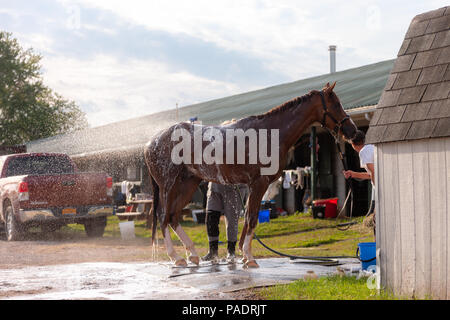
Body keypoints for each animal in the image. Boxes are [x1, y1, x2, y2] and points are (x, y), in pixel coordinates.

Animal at [146, 82, 356, 268]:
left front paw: (243, 255)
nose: (352, 131)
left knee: (173, 217)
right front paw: (249, 257)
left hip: (188, 184)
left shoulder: (252, 186)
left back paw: (192, 254)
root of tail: (152, 142)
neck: (271, 133)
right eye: (336, 104)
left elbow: (247, 217)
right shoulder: (258, 183)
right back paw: (176, 258)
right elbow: (252, 217)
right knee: (163, 217)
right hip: (169, 187)